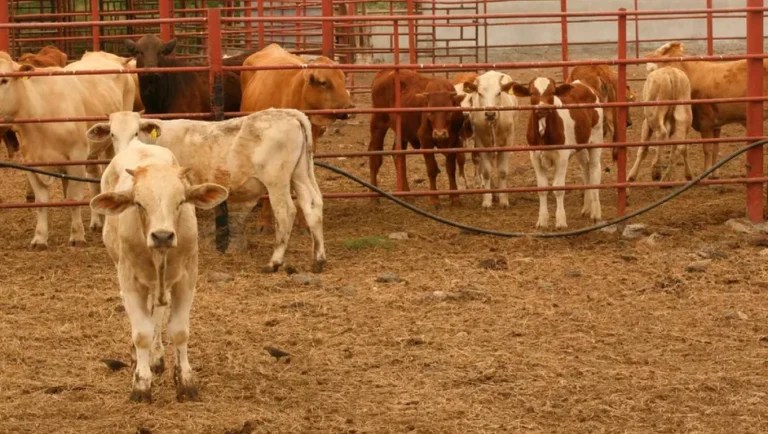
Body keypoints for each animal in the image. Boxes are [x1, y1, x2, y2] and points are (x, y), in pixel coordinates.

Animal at [90, 142, 228, 404]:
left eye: (181, 202)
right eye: (139, 203)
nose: (162, 235)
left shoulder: (187, 278)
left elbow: (179, 331)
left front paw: (185, 381)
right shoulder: (130, 280)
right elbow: (141, 333)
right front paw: (141, 384)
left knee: (157, 311)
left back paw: (156, 356)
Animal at [368, 69, 464, 207]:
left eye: (449, 111)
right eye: (430, 112)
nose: (439, 134)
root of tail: (384, 72)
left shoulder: (453, 140)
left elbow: (451, 168)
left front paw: (455, 197)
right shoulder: (425, 140)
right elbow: (432, 169)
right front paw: (434, 199)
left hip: (400, 131)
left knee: (398, 156)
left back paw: (407, 195)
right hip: (378, 124)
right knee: (375, 157)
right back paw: (374, 197)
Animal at [512, 77, 604, 231]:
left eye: (552, 92)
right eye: (531, 93)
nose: (542, 108)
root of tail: (583, 84)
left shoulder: (562, 157)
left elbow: (559, 188)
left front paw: (561, 221)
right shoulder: (534, 156)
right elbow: (542, 188)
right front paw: (542, 220)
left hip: (596, 139)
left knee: (595, 171)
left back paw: (596, 213)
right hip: (581, 145)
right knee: (586, 171)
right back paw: (587, 208)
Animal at [644, 40, 768, 176]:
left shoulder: (706, 122)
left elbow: (707, 149)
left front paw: (707, 172)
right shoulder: (716, 124)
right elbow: (715, 148)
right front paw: (715, 174)